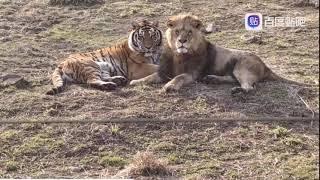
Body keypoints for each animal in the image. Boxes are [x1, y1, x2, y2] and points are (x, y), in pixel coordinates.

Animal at [130, 13, 316, 93]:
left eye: (189, 32)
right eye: (177, 32)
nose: (182, 41)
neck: (179, 55)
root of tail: (265, 66)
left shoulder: (192, 74)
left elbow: (179, 77)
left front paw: (169, 86)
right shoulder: (164, 72)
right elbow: (150, 77)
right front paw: (135, 82)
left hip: (242, 67)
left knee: (249, 87)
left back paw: (237, 91)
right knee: (234, 79)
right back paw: (212, 79)